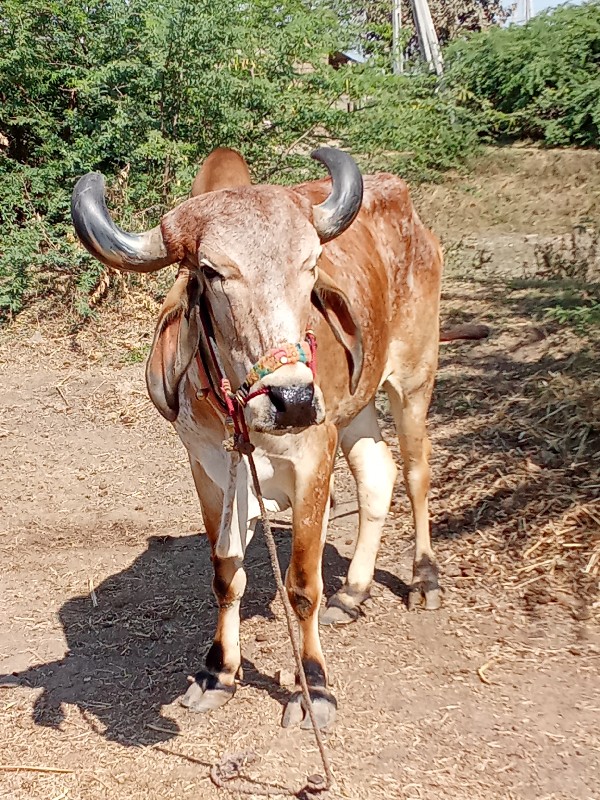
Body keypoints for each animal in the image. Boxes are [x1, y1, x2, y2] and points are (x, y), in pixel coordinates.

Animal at [71, 148, 446, 732]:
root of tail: (406, 208)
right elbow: (226, 573)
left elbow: (302, 584)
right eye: (211, 271)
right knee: (377, 477)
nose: (292, 399)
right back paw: (353, 593)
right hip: (354, 407)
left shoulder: (313, 461)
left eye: (312, 263)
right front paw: (218, 672)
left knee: (415, 471)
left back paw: (424, 578)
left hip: (413, 379)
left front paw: (313, 686)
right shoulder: (207, 467)